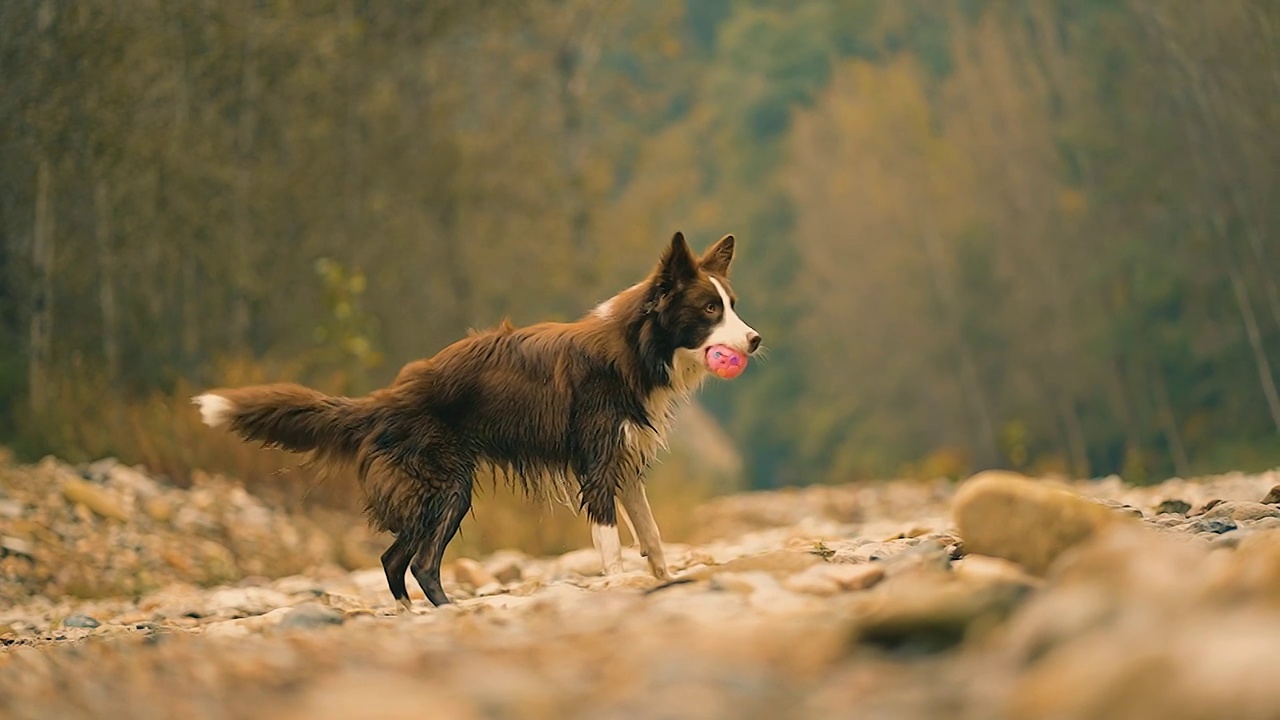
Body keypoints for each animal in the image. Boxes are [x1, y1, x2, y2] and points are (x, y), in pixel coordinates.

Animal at [189, 230, 757, 604]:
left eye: (731, 303)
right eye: (710, 309)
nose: (755, 340)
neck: (635, 345)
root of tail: (384, 399)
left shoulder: (625, 462)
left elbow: (653, 537)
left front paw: (664, 583)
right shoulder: (597, 466)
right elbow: (612, 542)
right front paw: (621, 586)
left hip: (437, 492)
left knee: (393, 559)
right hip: (447, 489)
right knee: (416, 561)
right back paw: (444, 611)